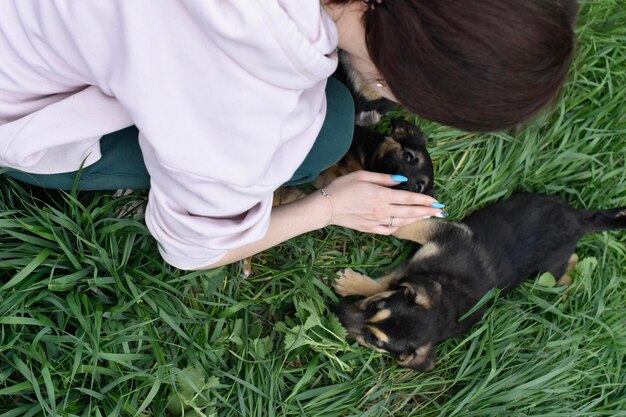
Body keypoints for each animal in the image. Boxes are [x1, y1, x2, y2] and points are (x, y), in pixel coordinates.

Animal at [332, 192, 624, 370]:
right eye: (374, 307)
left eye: (375, 341)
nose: (338, 316)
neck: (446, 299)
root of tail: (578, 221)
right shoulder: (445, 236)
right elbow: (404, 236)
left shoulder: (446, 236)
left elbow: (394, 255)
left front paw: (350, 284)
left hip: (545, 272)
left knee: (569, 262)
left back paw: (565, 291)